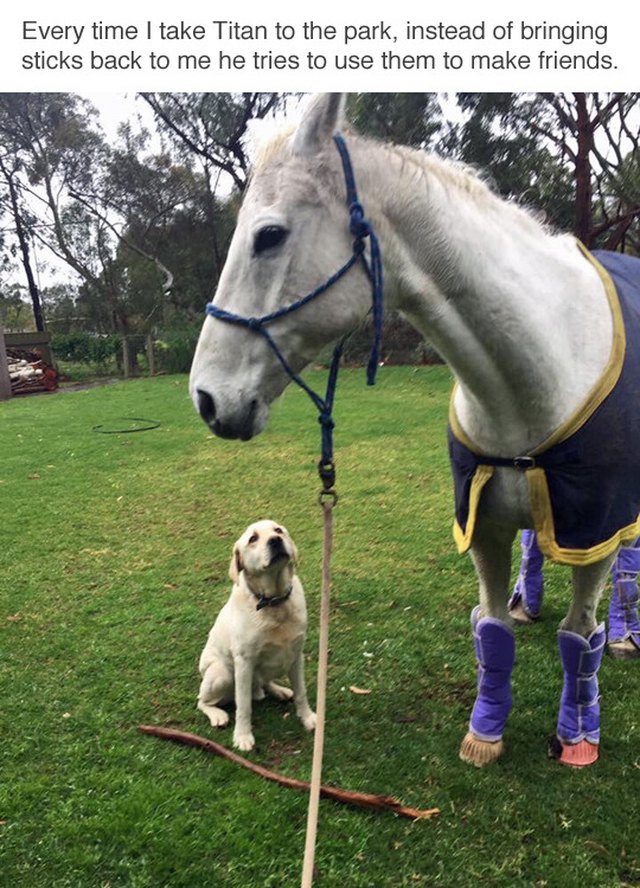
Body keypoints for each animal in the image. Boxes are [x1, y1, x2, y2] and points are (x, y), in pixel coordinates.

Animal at [195, 520, 316, 748]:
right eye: (253, 539)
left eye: (278, 530)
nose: (275, 541)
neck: (274, 603)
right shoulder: (244, 662)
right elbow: (243, 706)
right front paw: (242, 736)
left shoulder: (296, 655)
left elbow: (301, 692)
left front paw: (308, 718)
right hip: (222, 674)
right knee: (201, 701)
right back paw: (217, 715)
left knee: (265, 682)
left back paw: (279, 690)